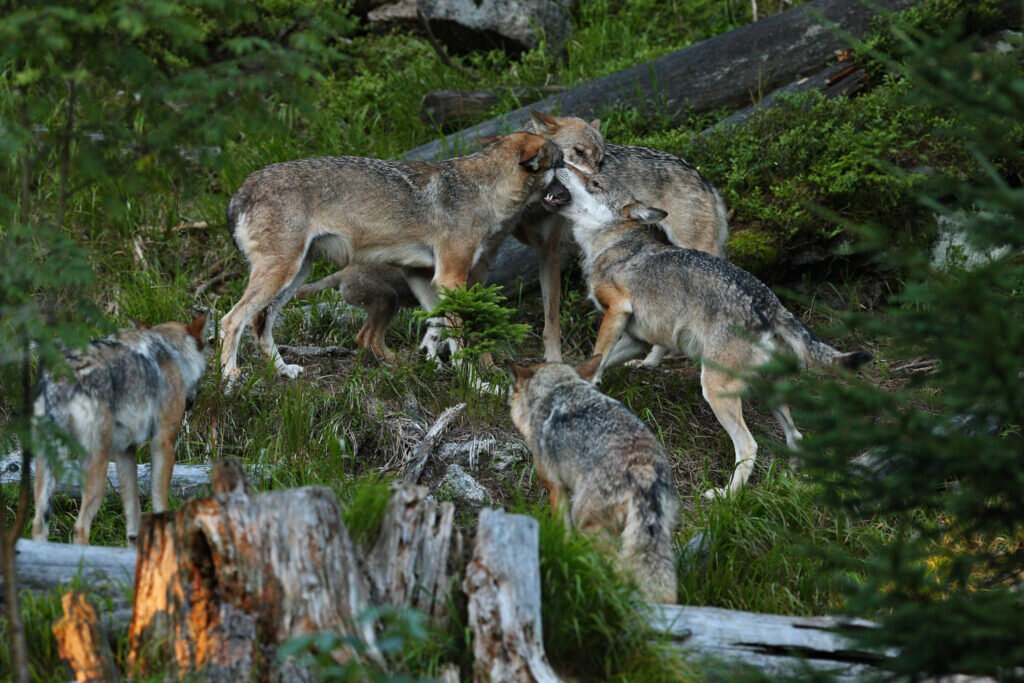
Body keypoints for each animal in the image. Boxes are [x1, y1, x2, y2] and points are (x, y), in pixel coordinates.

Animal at [32, 313, 208, 544]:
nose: (191, 403)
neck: (170, 350)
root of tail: (63, 377)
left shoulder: (125, 451)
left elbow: (133, 517)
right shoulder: (163, 442)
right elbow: (160, 503)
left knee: (38, 524)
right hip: (96, 468)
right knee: (80, 526)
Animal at [219, 131, 565, 382]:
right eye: (562, 163)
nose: (572, 192)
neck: (485, 191)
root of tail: (240, 191)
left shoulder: (423, 276)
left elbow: (437, 325)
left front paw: (430, 362)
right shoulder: (450, 278)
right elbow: (460, 337)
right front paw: (476, 384)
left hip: (295, 275)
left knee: (260, 326)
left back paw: (283, 371)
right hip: (281, 275)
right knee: (230, 320)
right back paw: (229, 377)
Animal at [505, 356, 679, 602]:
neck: (559, 388)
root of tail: (644, 472)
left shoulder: (556, 488)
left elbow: (563, 531)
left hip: (587, 524)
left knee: (619, 568)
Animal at [540, 165, 868, 497]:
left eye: (594, 182)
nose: (561, 163)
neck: (610, 245)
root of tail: (771, 305)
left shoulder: (617, 311)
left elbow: (596, 356)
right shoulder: (637, 339)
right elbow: (598, 361)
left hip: (714, 389)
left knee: (749, 446)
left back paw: (726, 496)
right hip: (768, 393)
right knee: (796, 436)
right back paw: (795, 479)